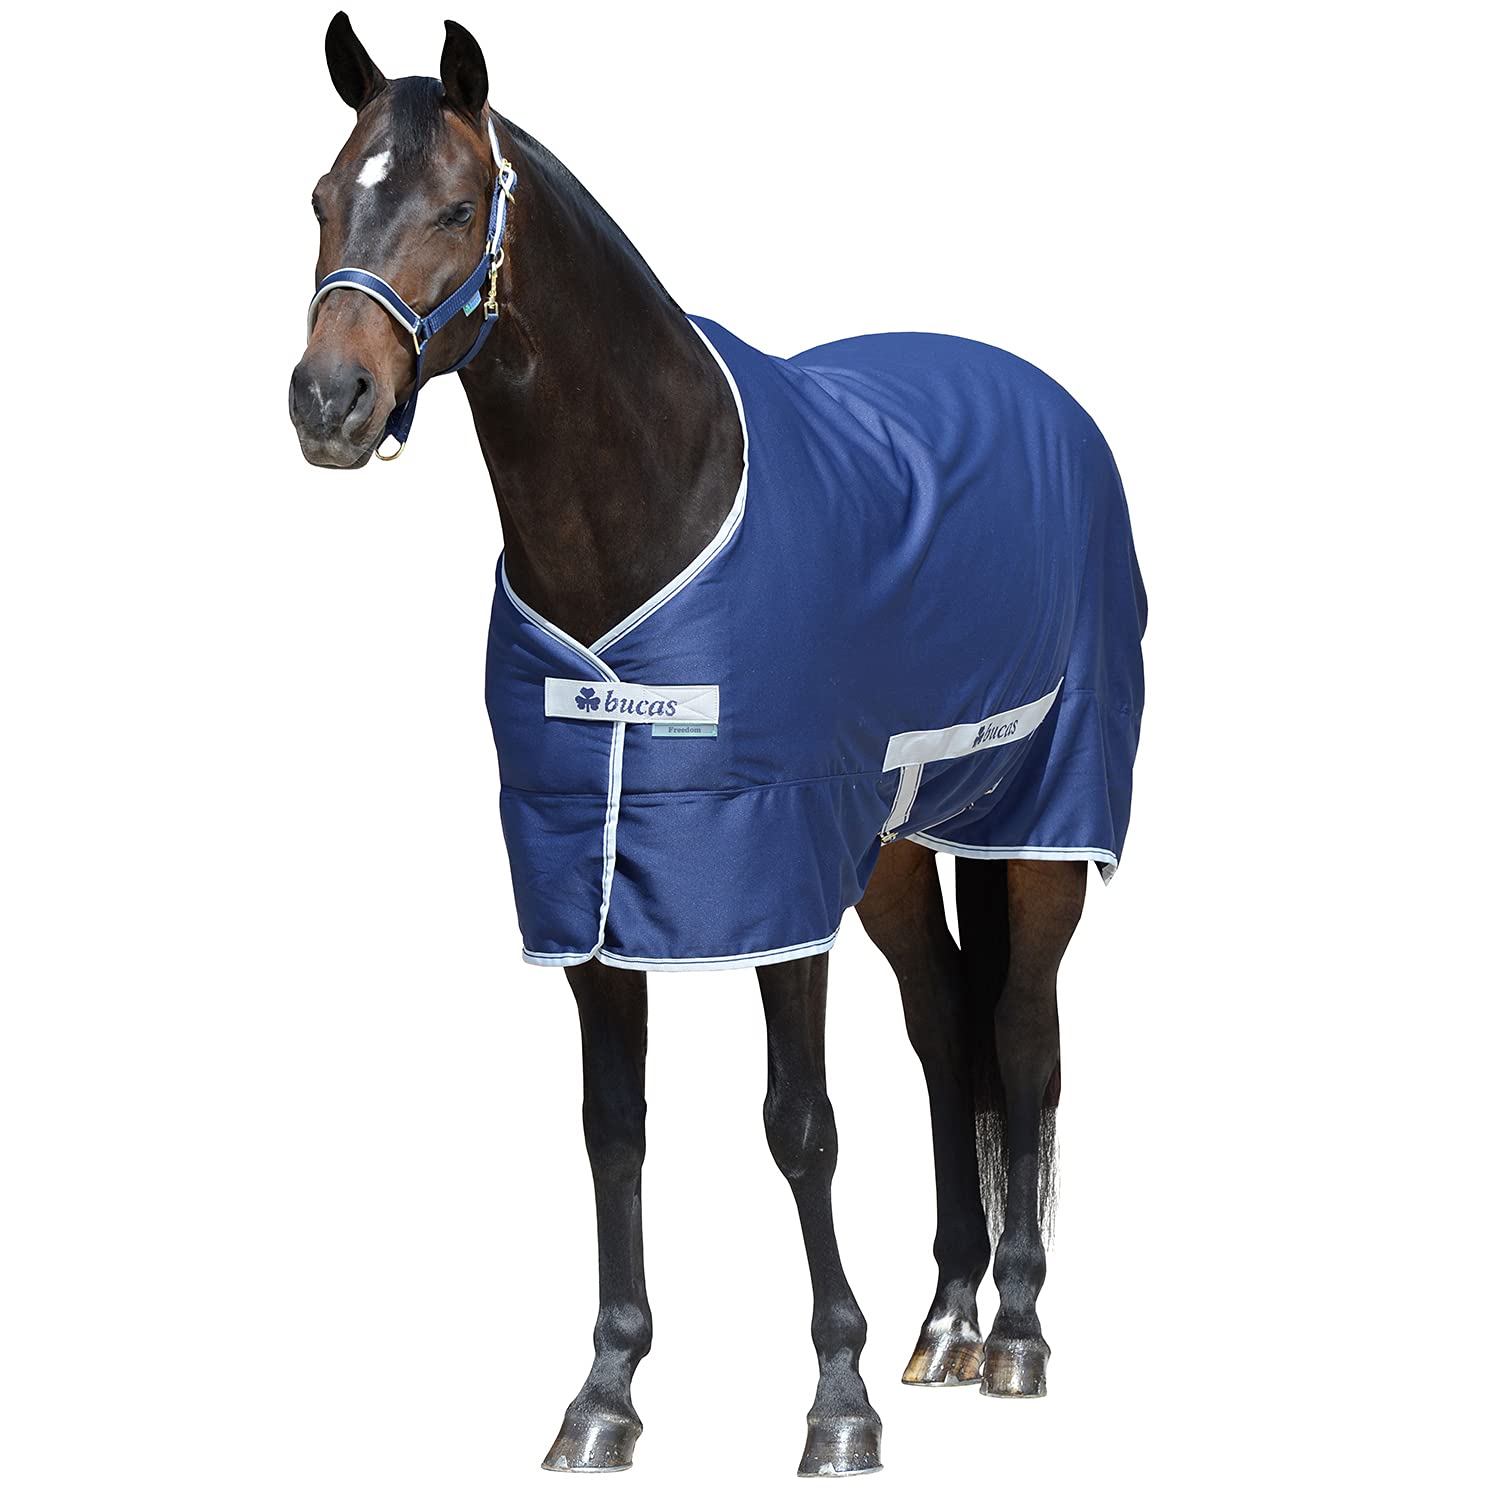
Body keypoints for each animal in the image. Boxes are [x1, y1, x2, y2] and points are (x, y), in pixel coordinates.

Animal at [288, 14, 1146, 1477]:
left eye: (456, 208)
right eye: (324, 198)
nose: (329, 399)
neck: (651, 510)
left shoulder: (772, 870)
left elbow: (801, 1125)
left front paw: (838, 1400)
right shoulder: (584, 880)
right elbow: (612, 1129)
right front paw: (604, 1395)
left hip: (1038, 825)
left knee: (1025, 1038)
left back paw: (1020, 1334)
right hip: (893, 849)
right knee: (945, 1031)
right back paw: (947, 1320)